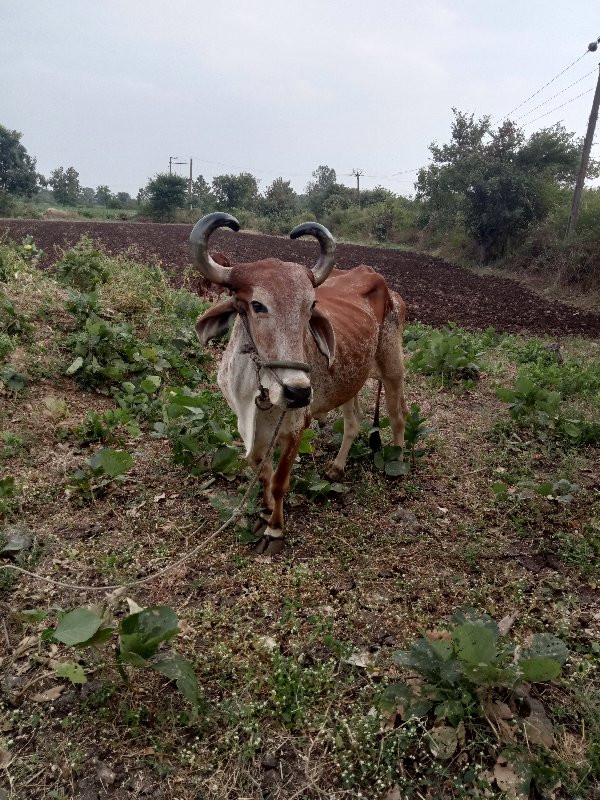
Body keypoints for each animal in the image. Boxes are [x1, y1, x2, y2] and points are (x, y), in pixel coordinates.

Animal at [192, 212, 408, 556]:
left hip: (392, 368)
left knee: (397, 414)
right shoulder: (251, 430)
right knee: (354, 421)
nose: (298, 391)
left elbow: (280, 480)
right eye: (257, 305)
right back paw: (336, 468)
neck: (261, 393)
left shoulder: (295, 427)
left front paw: (274, 530)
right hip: (351, 379)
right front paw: (265, 509)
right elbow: (262, 472)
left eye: (310, 306)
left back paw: (397, 461)